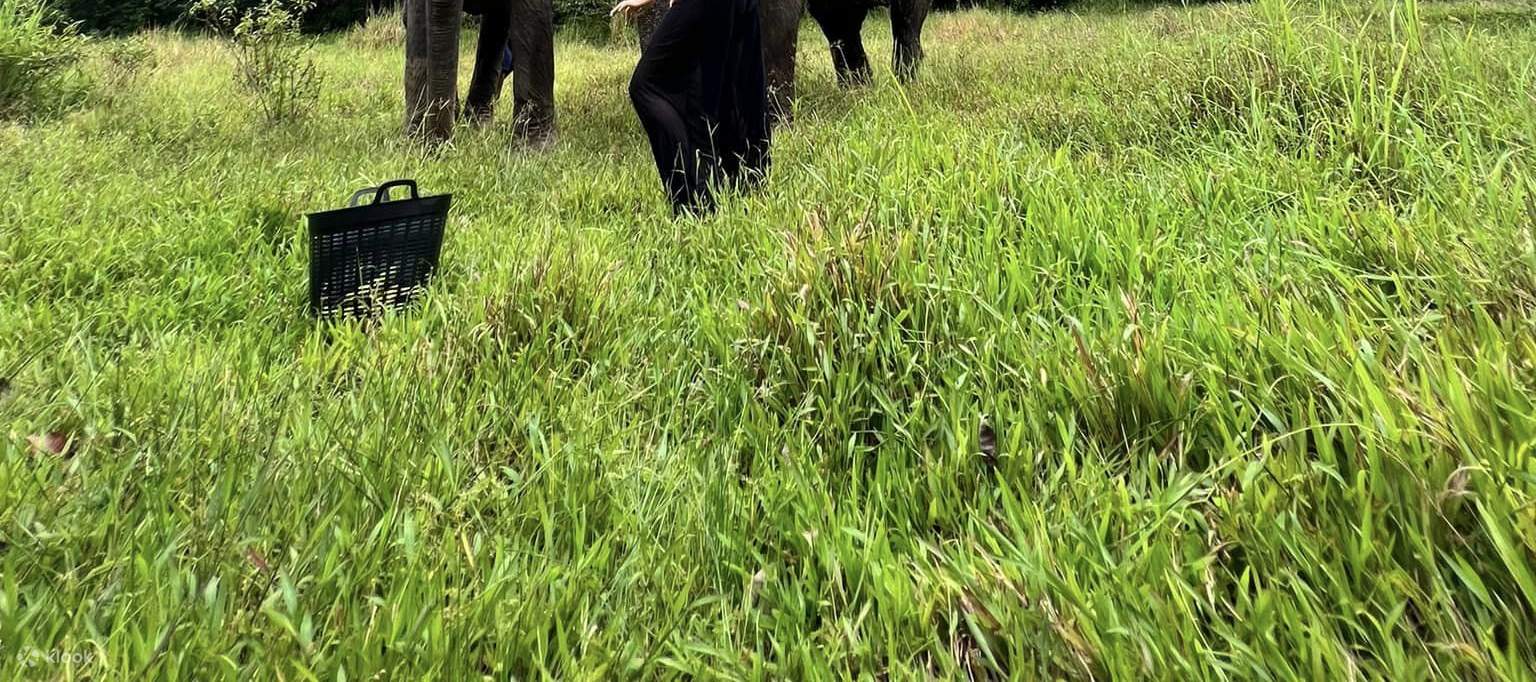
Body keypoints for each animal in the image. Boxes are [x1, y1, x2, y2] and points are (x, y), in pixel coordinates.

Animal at [403, 0, 555, 146]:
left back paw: (477, 125)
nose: (438, 147)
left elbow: (531, 12)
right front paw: (416, 140)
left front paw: (533, 148)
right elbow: (417, 18)